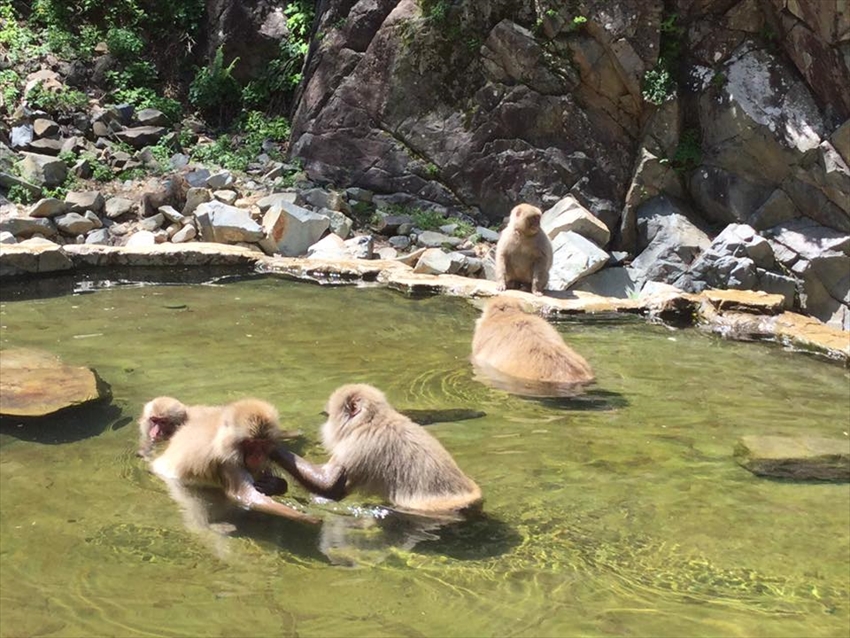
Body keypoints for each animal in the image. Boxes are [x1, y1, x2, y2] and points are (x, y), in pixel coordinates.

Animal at [149, 400, 318, 524]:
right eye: (251, 444)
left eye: (262, 444)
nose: (257, 456)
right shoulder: (228, 461)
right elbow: (244, 496)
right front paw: (309, 518)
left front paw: (275, 485)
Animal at [274, 384, 480, 516]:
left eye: (330, 415)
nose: (326, 424)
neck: (372, 421)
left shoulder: (357, 445)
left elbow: (330, 488)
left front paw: (274, 448)